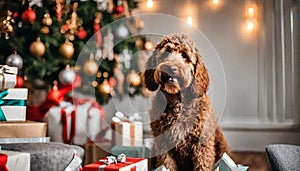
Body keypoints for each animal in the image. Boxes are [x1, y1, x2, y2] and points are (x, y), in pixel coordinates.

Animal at [144, 33, 231, 171]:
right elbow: (167, 164)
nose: (171, 68)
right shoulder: (163, 145)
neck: (178, 103)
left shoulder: (202, 145)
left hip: (222, 145)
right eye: (166, 52)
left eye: (184, 55)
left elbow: (202, 165)